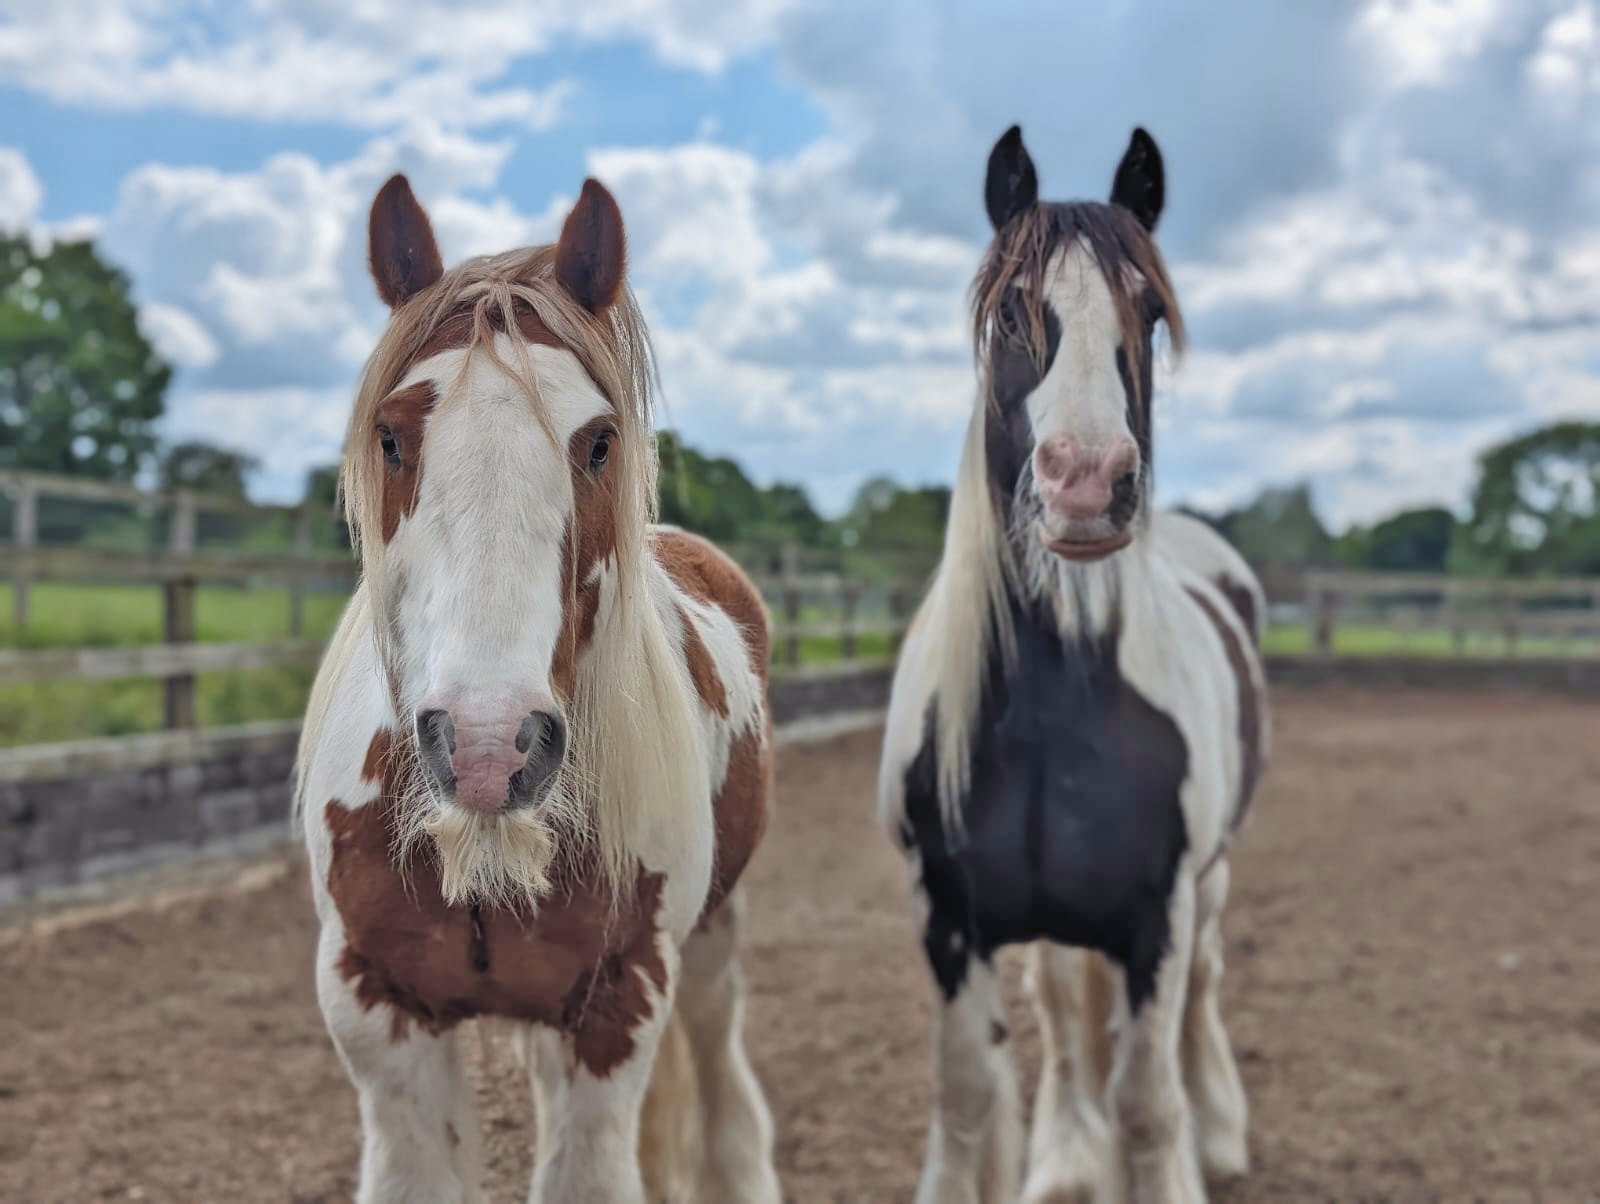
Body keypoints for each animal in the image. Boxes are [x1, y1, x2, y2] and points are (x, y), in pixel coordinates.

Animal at [295, 173, 781, 1204]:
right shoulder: (375, 1012)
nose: (488, 747)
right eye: (390, 436)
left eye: (597, 442)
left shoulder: (616, 1009)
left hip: (712, 943)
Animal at [877, 126, 1269, 1204]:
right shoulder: (947, 919)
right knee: (1060, 1013)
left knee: (1203, 993)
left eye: (1148, 309)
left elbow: (1147, 1100)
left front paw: (1176, 1155)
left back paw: (1218, 1132)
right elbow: (969, 1095)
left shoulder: (1157, 918)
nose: (1087, 482)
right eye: (1012, 307)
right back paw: (1064, 1156)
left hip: (1210, 883)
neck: (1054, 711)